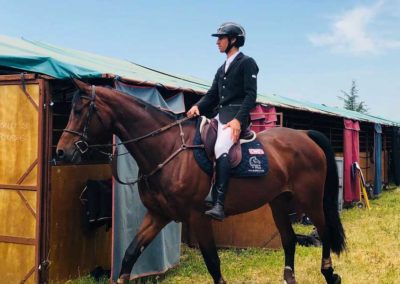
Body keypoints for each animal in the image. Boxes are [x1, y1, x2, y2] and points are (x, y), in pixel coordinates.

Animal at [57, 80, 346, 284]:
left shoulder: (198, 217)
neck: (167, 149)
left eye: (80, 111)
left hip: (310, 201)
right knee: (288, 239)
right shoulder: (157, 215)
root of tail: (304, 135)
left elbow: (213, 263)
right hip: (278, 202)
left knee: (324, 231)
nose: (61, 153)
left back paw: (330, 274)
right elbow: (129, 255)